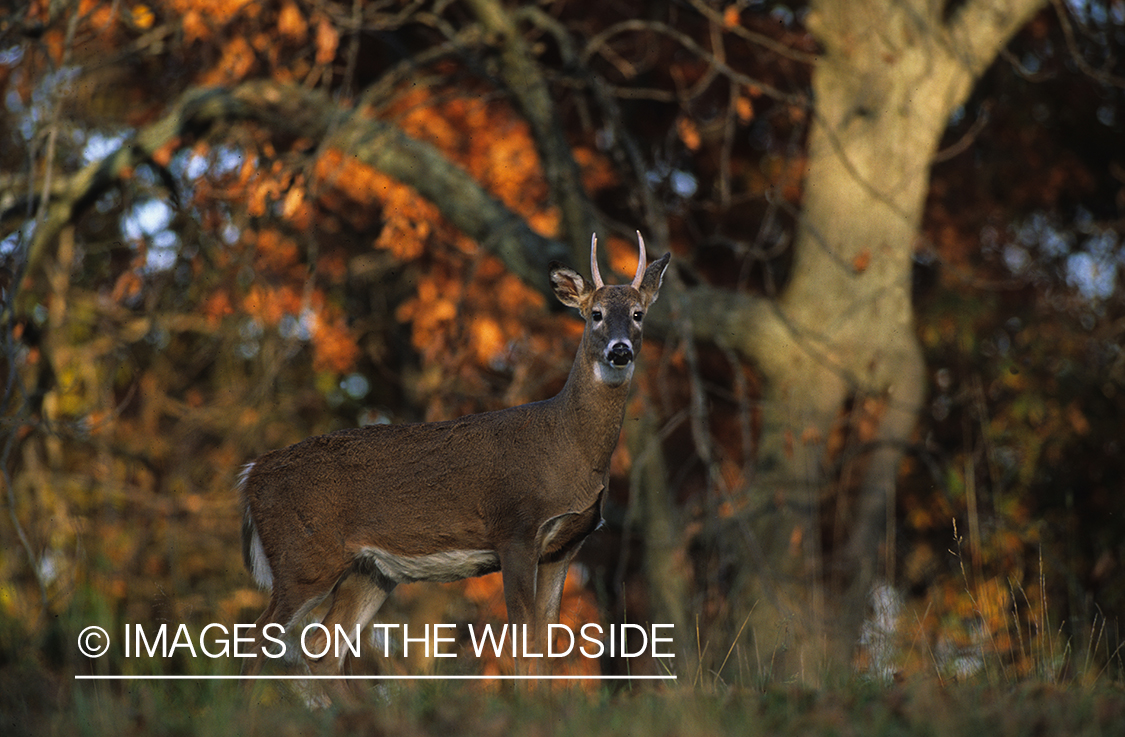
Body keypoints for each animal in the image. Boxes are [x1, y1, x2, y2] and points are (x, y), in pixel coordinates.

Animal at [238, 232, 670, 687]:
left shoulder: (564, 547)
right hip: (302, 556)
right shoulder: (515, 529)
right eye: (596, 315)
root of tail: (252, 474)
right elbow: (524, 641)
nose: (619, 350)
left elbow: (547, 644)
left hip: (369, 571)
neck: (567, 445)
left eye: (638, 314)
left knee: (322, 648)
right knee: (257, 637)